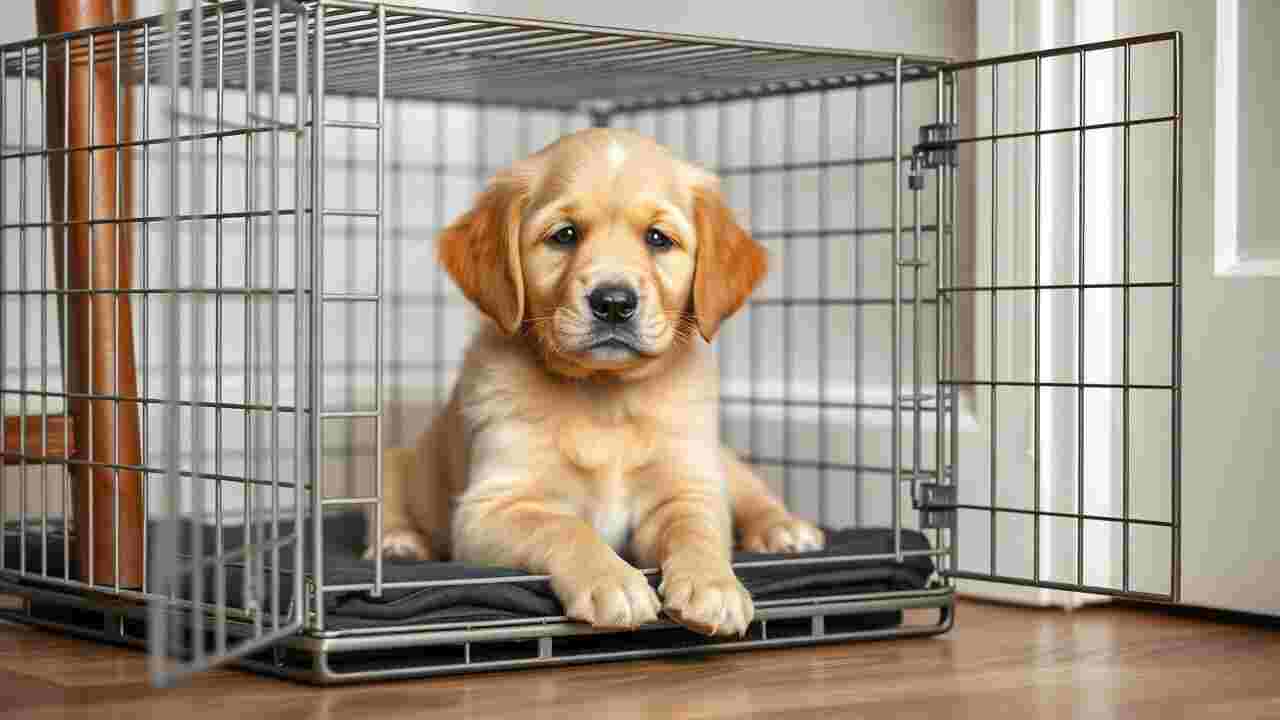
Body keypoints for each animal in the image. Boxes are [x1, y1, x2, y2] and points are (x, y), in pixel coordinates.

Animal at [371, 127, 824, 632]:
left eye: (658, 238)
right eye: (565, 235)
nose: (613, 302)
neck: (605, 398)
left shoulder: (686, 487)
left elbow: (698, 530)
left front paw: (714, 585)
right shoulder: (490, 507)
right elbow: (565, 525)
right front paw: (612, 581)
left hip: (716, 459)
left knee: (750, 490)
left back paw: (785, 528)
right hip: (395, 463)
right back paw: (398, 543)